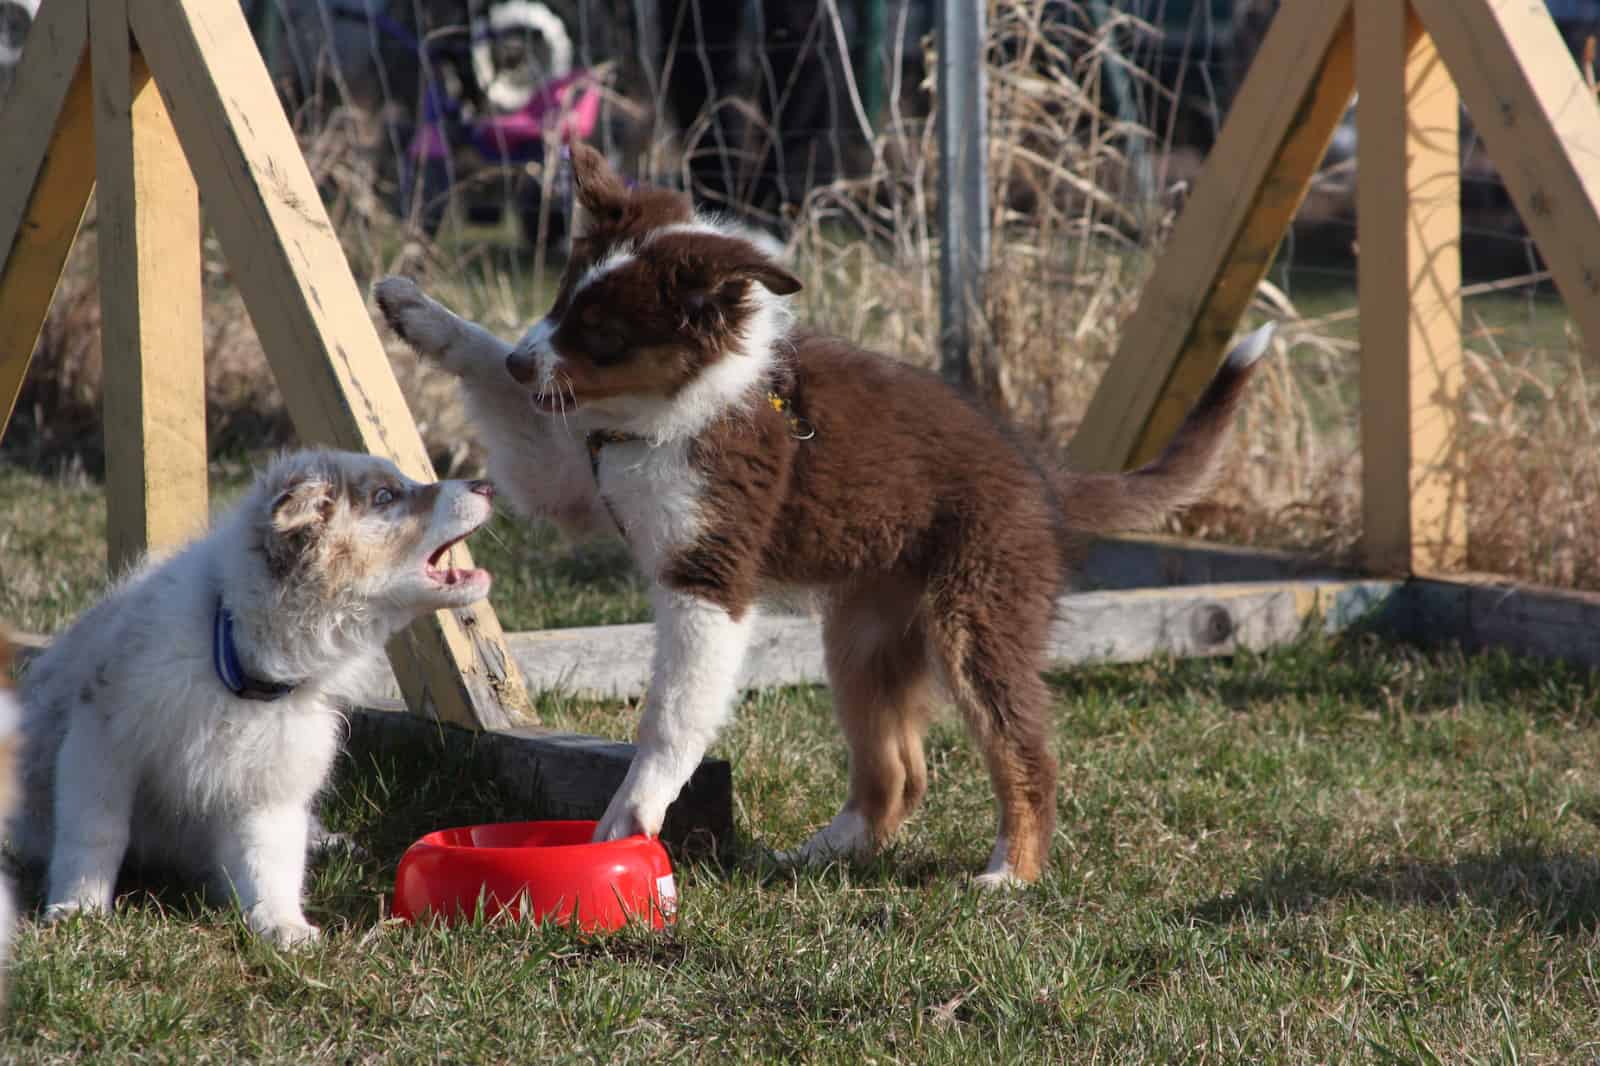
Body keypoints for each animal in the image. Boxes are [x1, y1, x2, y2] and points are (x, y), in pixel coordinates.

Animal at [10, 444, 492, 941]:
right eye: (385, 496)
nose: (486, 485)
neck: (239, 659)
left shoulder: (270, 780)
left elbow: (270, 858)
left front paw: (282, 924)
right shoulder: (102, 739)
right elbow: (95, 830)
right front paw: (79, 908)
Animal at [377, 145, 1273, 883]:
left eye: (602, 333)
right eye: (562, 301)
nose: (528, 359)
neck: (684, 400)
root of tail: (1040, 476)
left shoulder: (707, 575)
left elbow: (672, 715)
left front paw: (634, 814)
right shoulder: (575, 475)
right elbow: (498, 378)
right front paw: (418, 312)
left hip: (975, 615)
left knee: (1025, 751)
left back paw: (1009, 872)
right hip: (865, 637)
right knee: (900, 774)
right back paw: (824, 852)